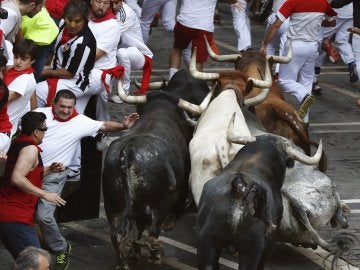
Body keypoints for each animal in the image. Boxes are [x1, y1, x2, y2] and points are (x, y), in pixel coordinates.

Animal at [101, 70, 210, 270]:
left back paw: (125, 261)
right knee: (152, 231)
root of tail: (128, 152)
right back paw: (154, 257)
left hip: (112, 203)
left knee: (117, 234)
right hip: (159, 204)